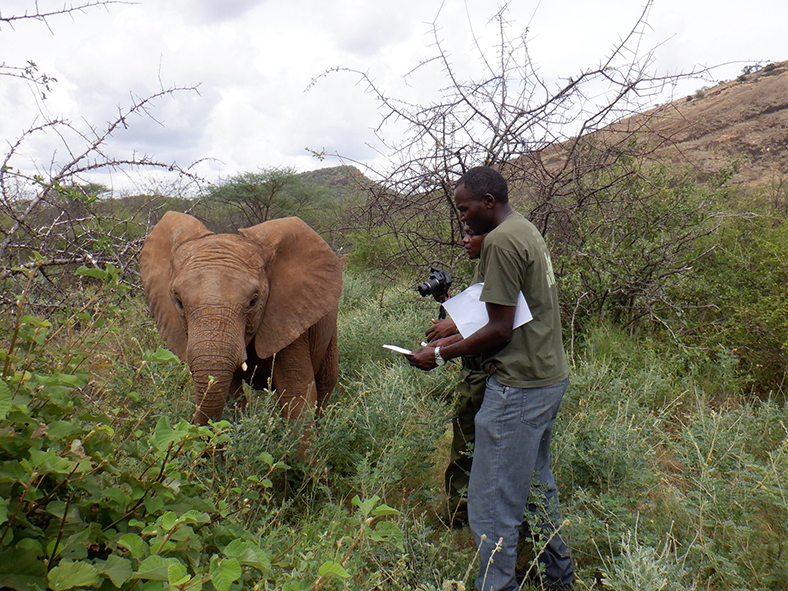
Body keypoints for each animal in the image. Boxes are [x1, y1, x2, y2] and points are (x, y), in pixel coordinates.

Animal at [139, 212, 342, 426]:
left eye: (253, 301)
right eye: (178, 301)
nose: (186, 424)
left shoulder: (288, 318)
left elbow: (297, 396)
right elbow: (232, 395)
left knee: (327, 381)